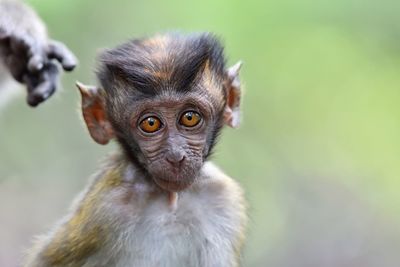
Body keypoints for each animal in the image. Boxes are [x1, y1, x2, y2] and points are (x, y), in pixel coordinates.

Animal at [24, 33, 247, 267]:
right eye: (150, 123)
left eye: (189, 117)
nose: (176, 156)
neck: (171, 201)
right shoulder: (106, 206)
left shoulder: (223, 197)